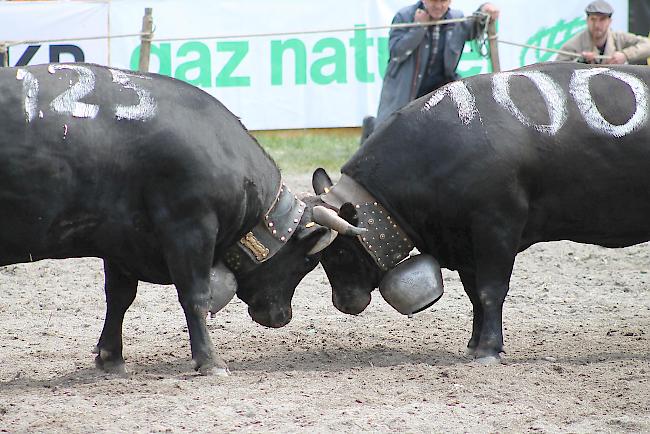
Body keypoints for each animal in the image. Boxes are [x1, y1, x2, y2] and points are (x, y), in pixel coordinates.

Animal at [294, 62, 648, 362]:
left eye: (339, 252)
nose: (344, 303)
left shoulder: (496, 226)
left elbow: (491, 290)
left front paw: (489, 349)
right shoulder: (463, 240)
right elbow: (474, 294)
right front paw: (474, 344)